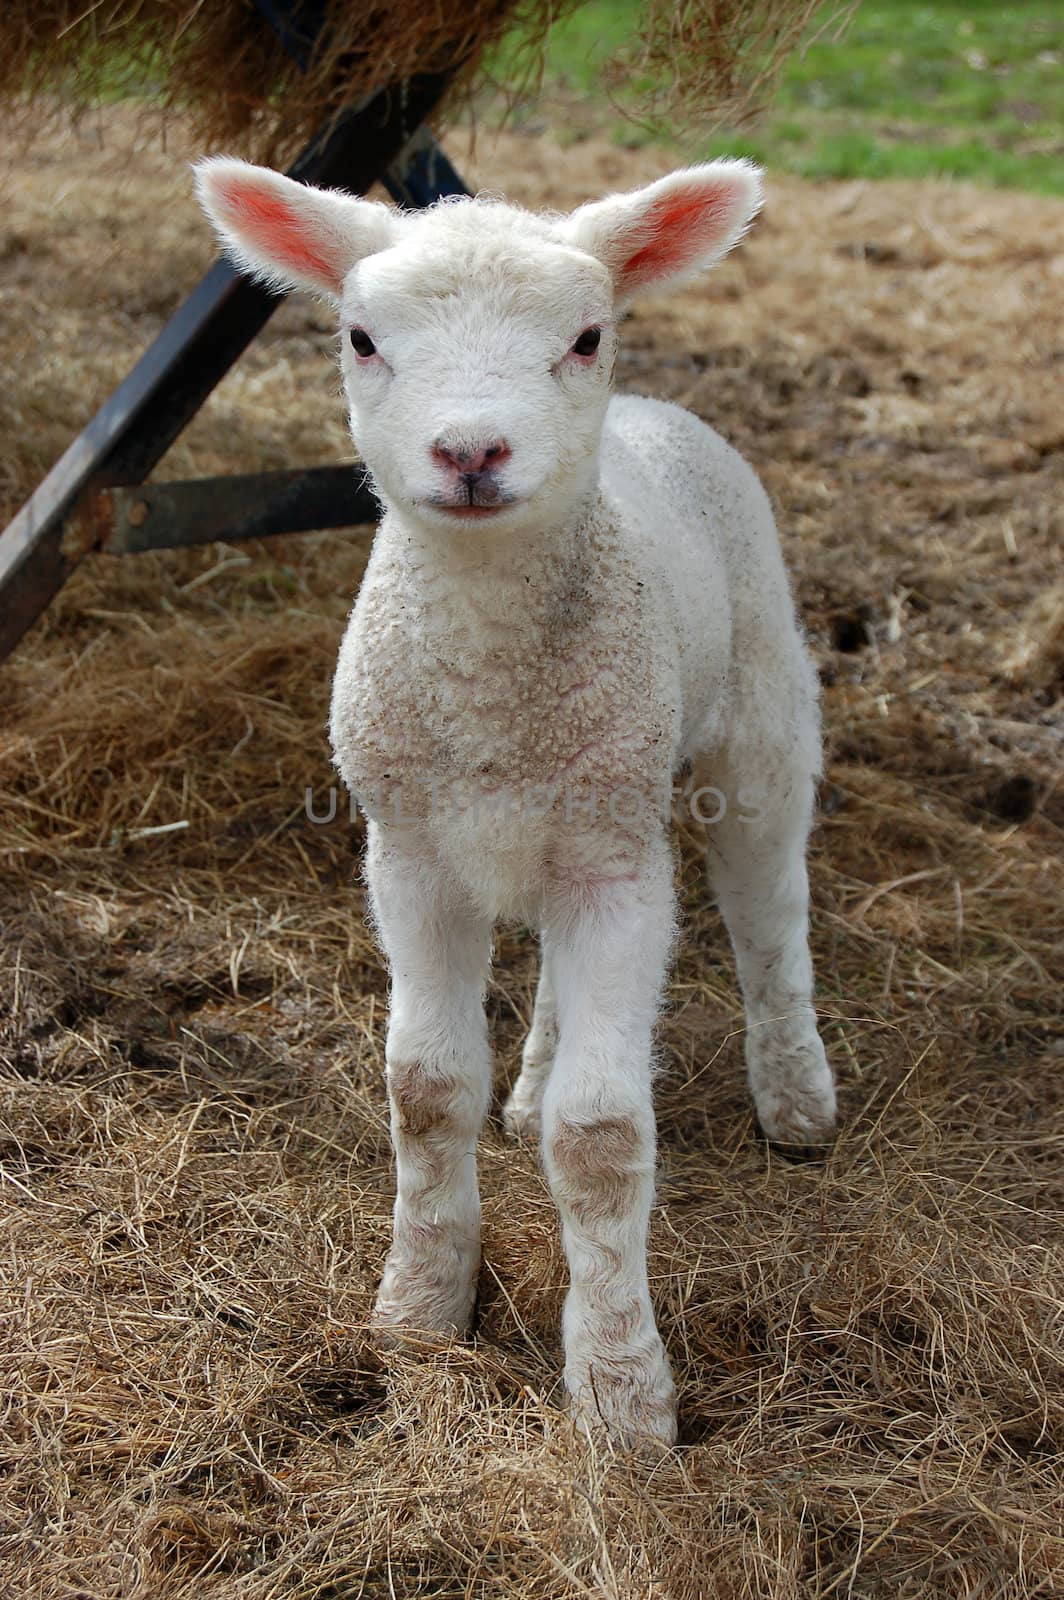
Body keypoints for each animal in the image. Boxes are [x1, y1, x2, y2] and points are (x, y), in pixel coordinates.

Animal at [195, 152, 832, 1452]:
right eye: (360, 338)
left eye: (584, 337)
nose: (471, 452)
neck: (488, 670)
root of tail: (657, 416)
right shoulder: (409, 851)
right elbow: (424, 1090)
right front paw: (417, 1311)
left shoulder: (618, 864)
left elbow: (601, 1138)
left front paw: (622, 1397)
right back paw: (531, 1080)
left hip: (750, 715)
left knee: (766, 901)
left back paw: (794, 1094)